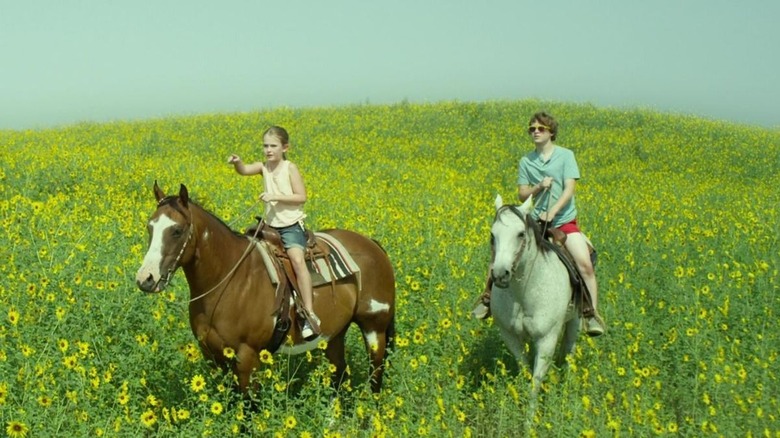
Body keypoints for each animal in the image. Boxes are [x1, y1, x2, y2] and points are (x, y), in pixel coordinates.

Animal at [133, 182, 396, 394]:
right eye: (149, 227)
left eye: (176, 231)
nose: (146, 279)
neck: (230, 281)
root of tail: (373, 245)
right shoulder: (213, 356)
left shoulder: (248, 357)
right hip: (335, 334)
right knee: (339, 373)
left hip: (374, 328)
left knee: (375, 377)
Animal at [490, 194, 576, 396]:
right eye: (493, 235)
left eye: (521, 234)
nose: (500, 274)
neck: (523, 294)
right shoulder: (510, 336)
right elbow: (525, 370)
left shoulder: (546, 340)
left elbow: (535, 384)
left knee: (570, 350)